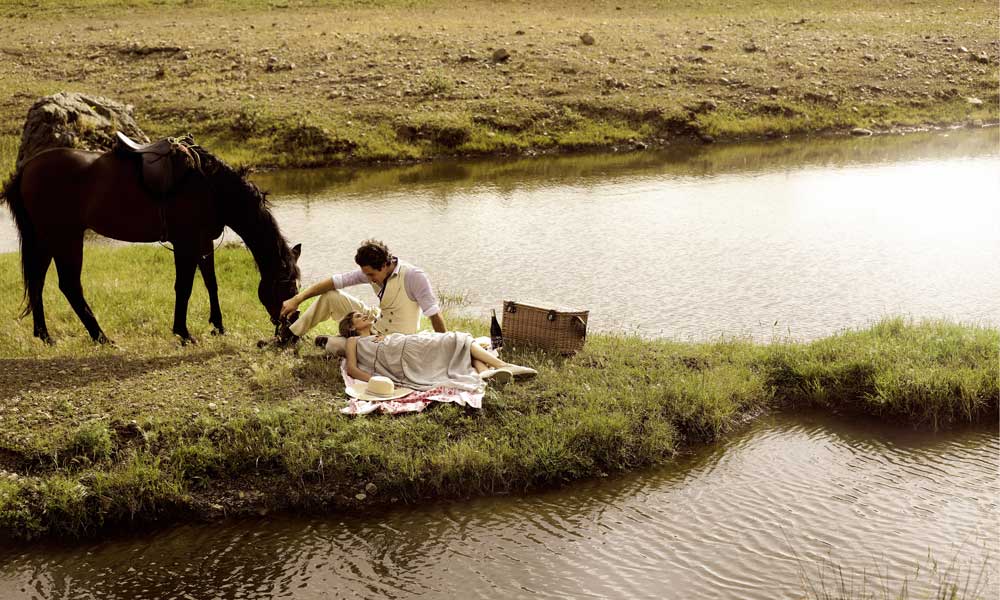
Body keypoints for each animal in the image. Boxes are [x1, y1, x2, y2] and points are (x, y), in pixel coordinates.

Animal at [1, 135, 302, 342]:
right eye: (287, 287)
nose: (292, 332)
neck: (212, 187)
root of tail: (27, 169)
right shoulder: (186, 244)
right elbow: (184, 287)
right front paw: (183, 333)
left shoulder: (203, 243)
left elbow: (211, 284)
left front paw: (218, 326)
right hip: (66, 238)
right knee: (70, 286)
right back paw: (101, 337)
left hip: (46, 239)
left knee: (37, 282)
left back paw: (44, 335)